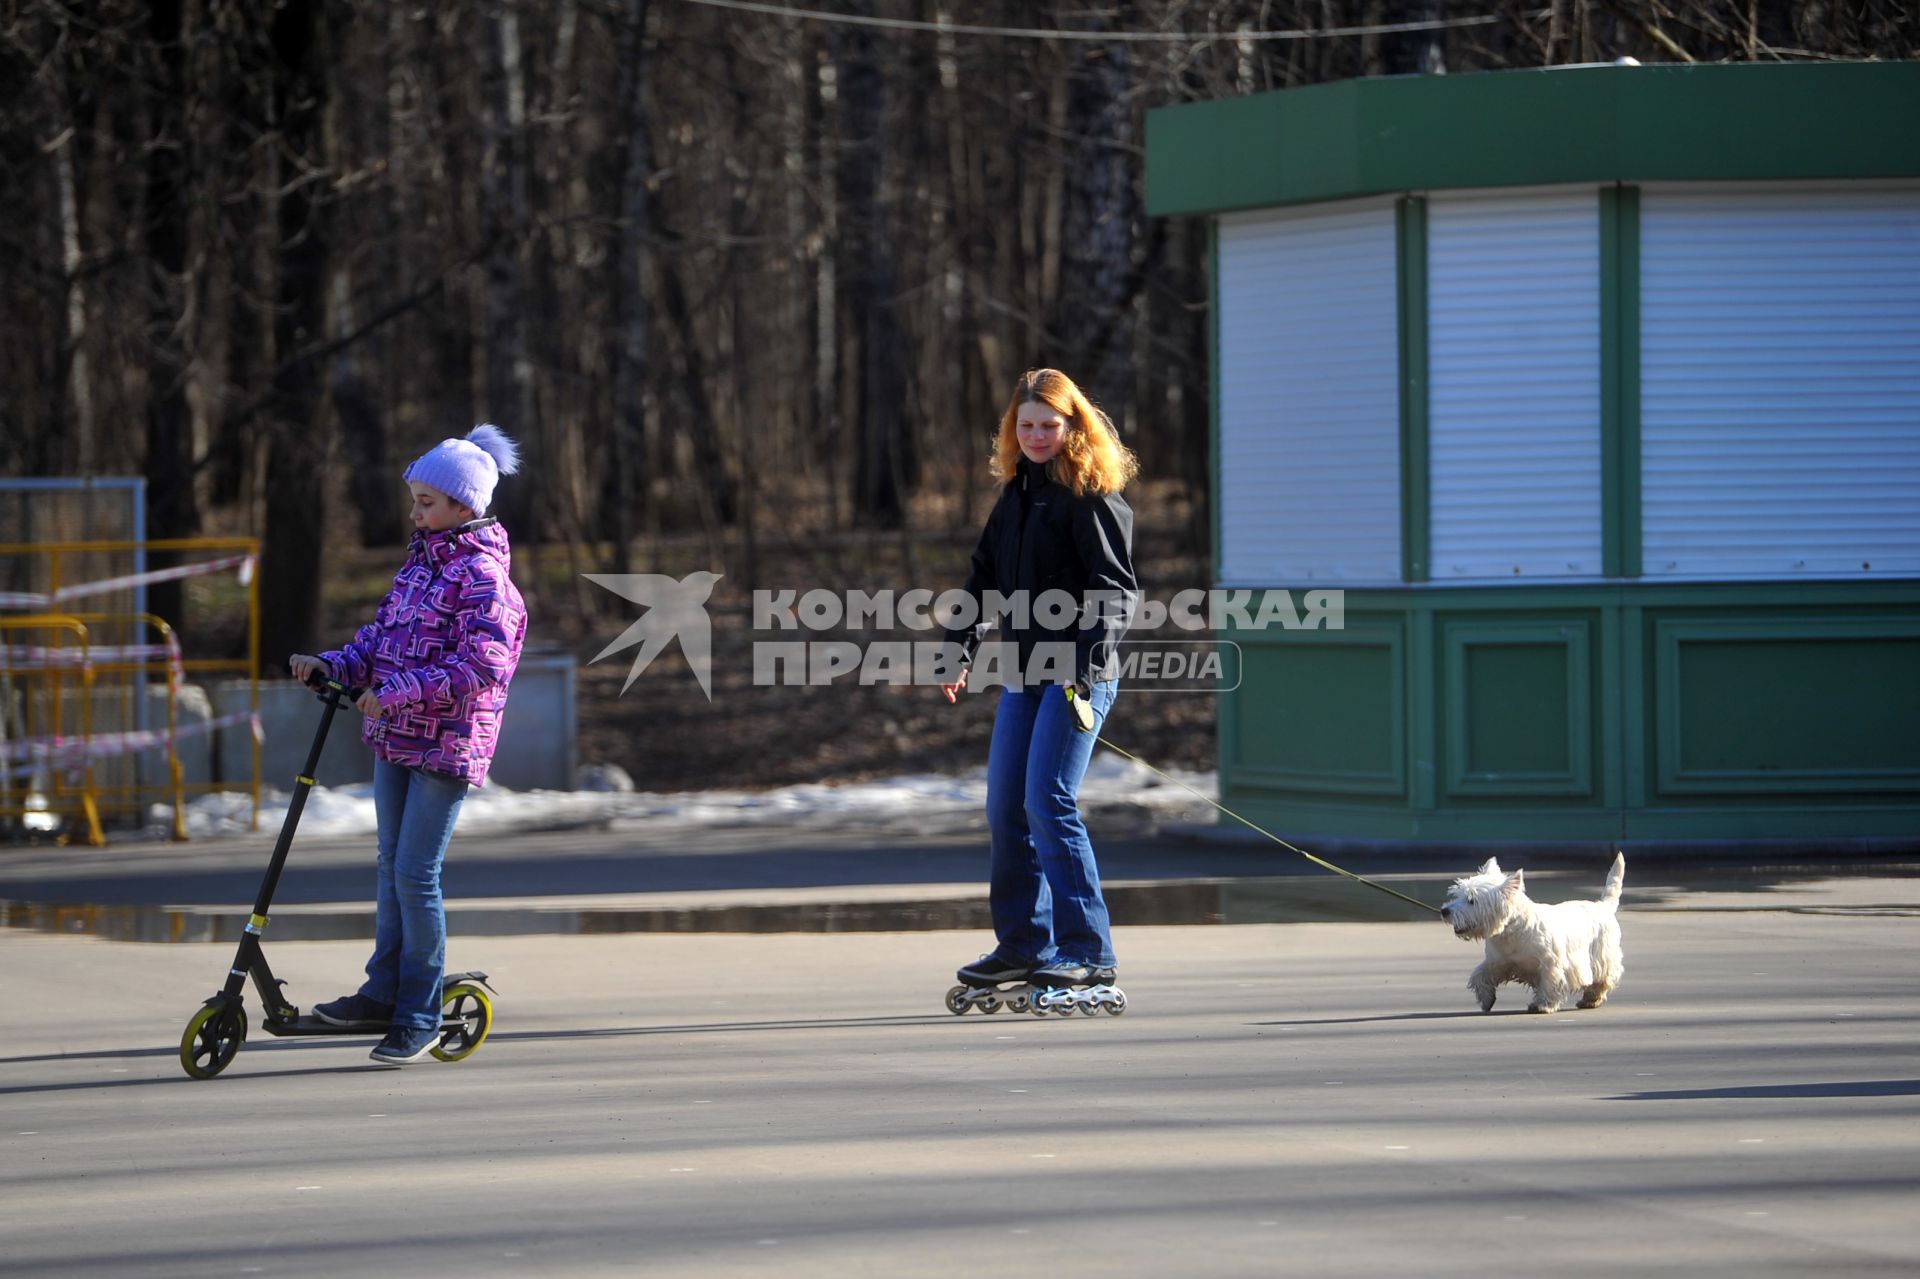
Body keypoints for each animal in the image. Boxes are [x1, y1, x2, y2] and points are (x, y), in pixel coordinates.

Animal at [1443, 852, 1620, 1013]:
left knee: (1603, 979)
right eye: (1458, 895)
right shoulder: (1497, 962)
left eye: (1471, 900)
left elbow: (1550, 983)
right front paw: (1487, 1000)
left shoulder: (1550, 964)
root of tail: (1603, 905)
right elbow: (1480, 976)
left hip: (1602, 955)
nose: (1444, 911)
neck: (1511, 932)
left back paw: (1591, 999)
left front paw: (1542, 1005)